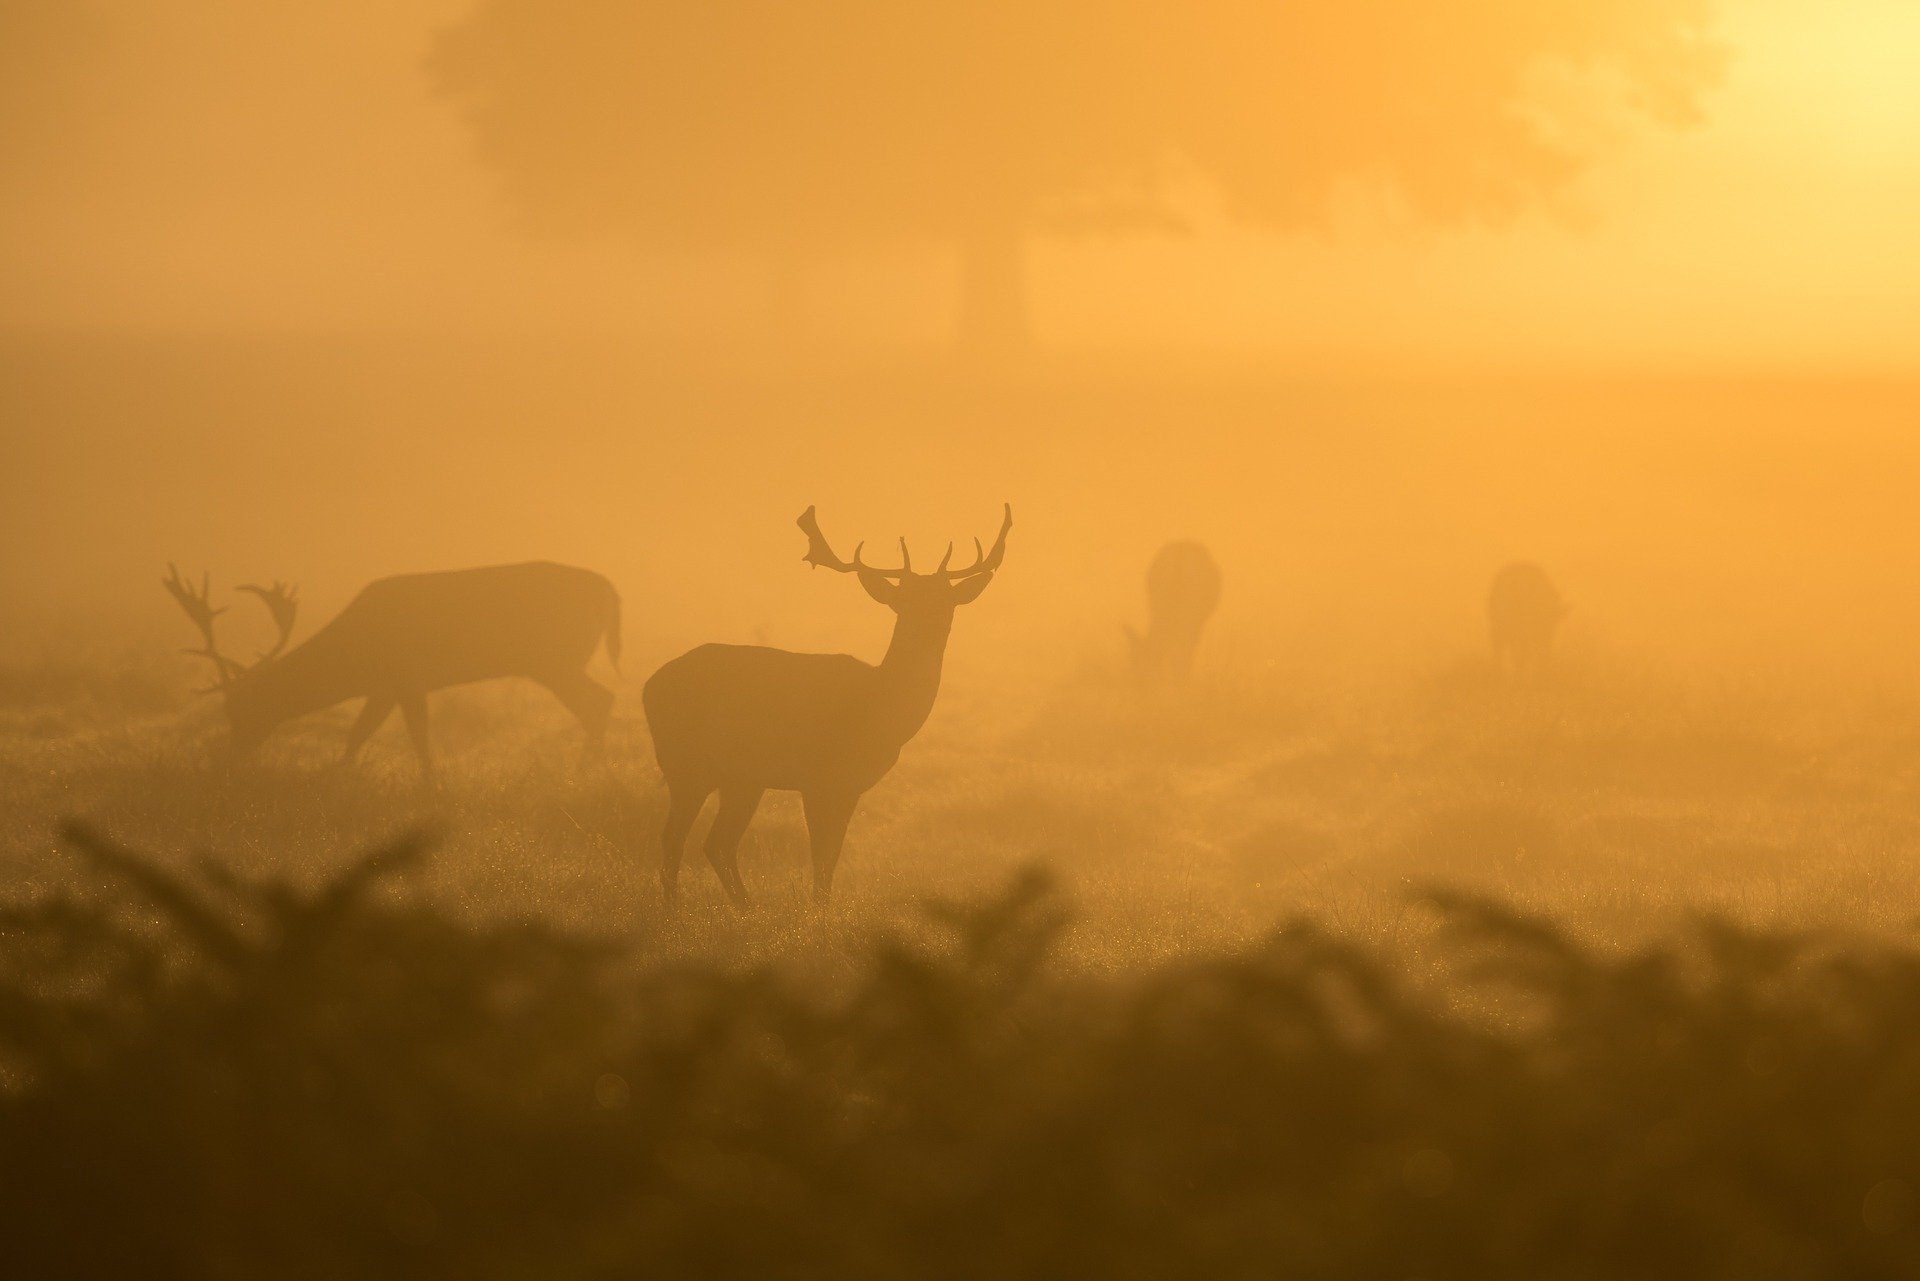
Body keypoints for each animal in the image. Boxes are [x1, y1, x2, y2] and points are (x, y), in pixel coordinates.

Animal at [163, 564, 622, 783]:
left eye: (241, 709)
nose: (226, 760)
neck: (357, 656)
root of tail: (609, 589)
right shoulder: (383, 687)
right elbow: (358, 733)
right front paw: (339, 773)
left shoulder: (407, 675)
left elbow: (417, 734)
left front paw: (430, 784)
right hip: (557, 661)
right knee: (600, 700)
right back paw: (593, 771)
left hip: (555, 659)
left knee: (598, 701)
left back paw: (584, 773)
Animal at [641, 507, 1013, 906]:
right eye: (904, 600)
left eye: (946, 600)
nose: (931, 623)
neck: (878, 709)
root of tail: (648, 687)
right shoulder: (816, 775)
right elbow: (820, 854)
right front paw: (817, 909)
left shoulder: (851, 785)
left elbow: (832, 854)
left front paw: (823, 906)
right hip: (686, 764)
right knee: (674, 837)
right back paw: (675, 906)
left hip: (741, 778)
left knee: (717, 842)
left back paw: (746, 906)